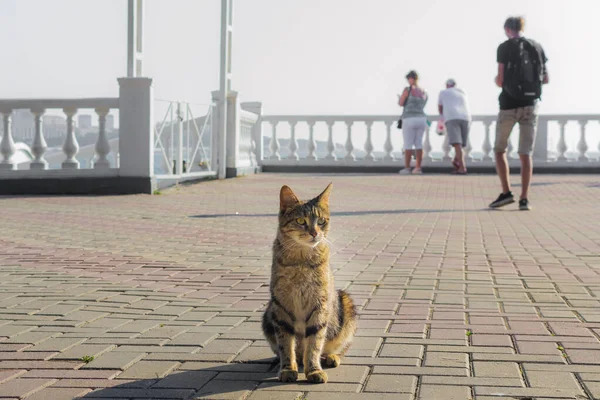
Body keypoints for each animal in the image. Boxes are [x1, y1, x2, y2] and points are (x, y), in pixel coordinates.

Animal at [262, 184, 356, 384]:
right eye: (300, 220)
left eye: (321, 221)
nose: (314, 233)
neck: (301, 261)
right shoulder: (281, 306)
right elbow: (285, 344)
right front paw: (288, 368)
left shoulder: (320, 304)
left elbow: (314, 343)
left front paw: (313, 370)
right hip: (268, 312)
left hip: (346, 304)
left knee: (339, 347)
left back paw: (331, 357)